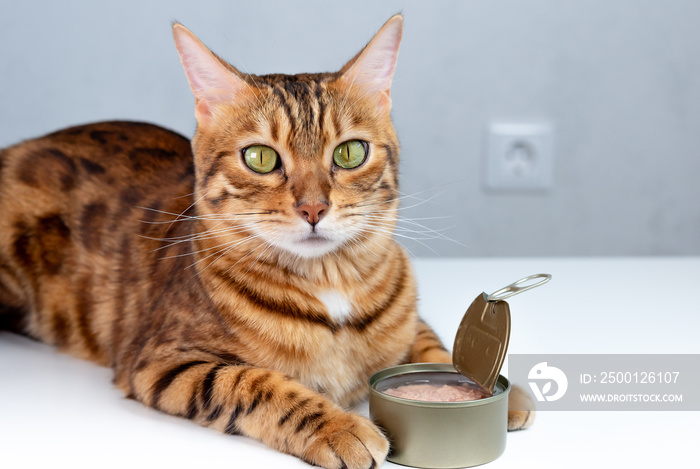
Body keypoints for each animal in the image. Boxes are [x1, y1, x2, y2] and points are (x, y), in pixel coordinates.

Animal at [0, 15, 532, 468]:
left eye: (350, 152)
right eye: (260, 157)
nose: (314, 208)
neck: (330, 282)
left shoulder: (409, 320)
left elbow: (434, 347)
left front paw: (492, 391)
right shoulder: (163, 360)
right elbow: (251, 381)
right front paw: (339, 426)